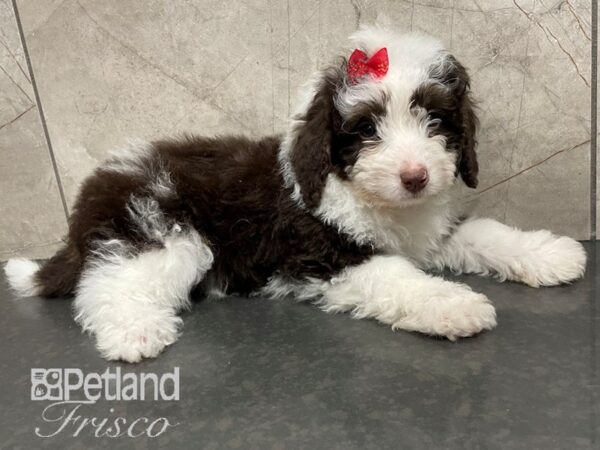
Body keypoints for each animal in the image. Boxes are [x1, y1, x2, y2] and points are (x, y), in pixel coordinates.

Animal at [4, 25, 584, 362]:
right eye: (365, 128)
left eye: (436, 120)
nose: (416, 177)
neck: (365, 195)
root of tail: (98, 188)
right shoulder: (322, 253)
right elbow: (396, 275)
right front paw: (453, 305)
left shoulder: (430, 228)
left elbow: (483, 232)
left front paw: (552, 253)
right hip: (162, 231)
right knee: (107, 283)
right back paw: (134, 332)